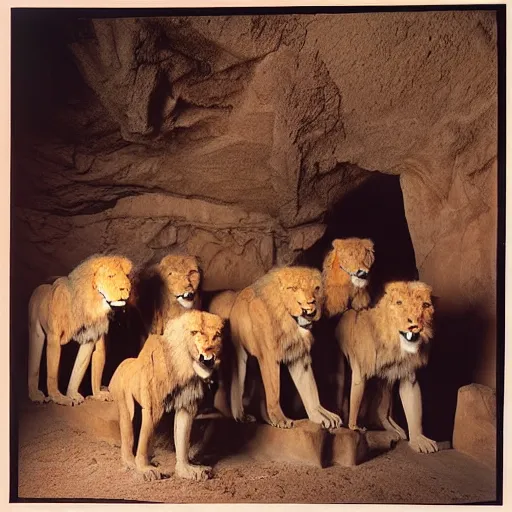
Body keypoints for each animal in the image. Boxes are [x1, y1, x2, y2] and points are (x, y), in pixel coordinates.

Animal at [27, 254, 132, 406]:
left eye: (126, 276)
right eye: (111, 276)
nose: (126, 289)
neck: (92, 305)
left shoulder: (91, 337)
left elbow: (81, 369)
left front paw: (80, 394)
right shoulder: (54, 337)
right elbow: (51, 373)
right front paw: (58, 397)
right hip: (36, 331)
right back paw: (35, 394)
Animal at [109, 310, 223, 482]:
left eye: (216, 336)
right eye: (195, 332)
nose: (209, 351)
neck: (184, 366)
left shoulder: (186, 404)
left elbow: (182, 437)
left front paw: (187, 469)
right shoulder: (153, 407)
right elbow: (144, 438)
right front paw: (145, 469)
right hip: (124, 402)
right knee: (127, 430)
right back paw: (130, 463)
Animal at [228, 266, 340, 430]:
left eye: (317, 288)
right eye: (294, 288)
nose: (310, 304)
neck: (290, 321)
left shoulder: (300, 357)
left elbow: (310, 389)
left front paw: (321, 415)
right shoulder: (269, 356)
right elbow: (274, 391)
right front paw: (281, 419)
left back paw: (266, 418)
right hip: (240, 353)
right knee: (238, 383)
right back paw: (241, 416)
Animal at [334, 280, 438, 452]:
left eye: (425, 305)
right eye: (399, 303)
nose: (415, 323)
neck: (394, 344)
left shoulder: (408, 371)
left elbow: (412, 402)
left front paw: (418, 439)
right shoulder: (361, 366)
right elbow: (357, 392)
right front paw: (353, 426)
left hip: (385, 381)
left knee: (382, 409)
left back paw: (394, 429)